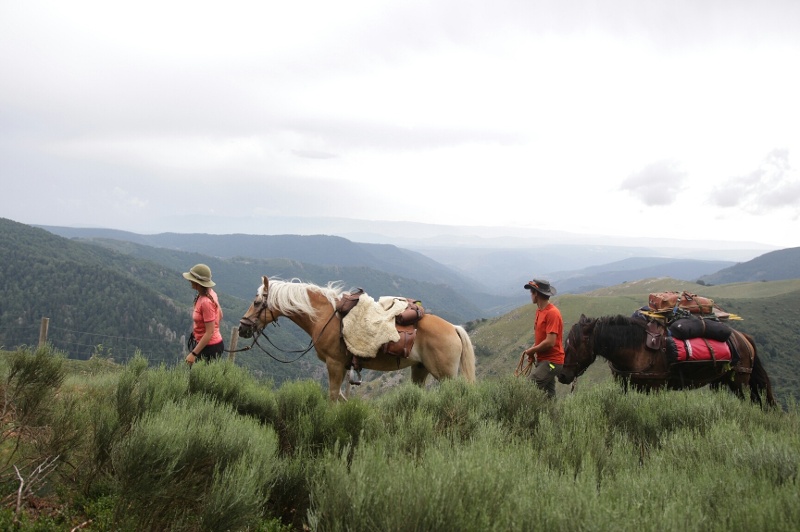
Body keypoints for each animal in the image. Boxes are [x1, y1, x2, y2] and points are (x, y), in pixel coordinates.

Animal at [238, 276, 476, 402]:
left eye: (257, 303)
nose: (242, 327)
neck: (324, 316)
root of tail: (453, 328)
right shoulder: (343, 366)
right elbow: (341, 397)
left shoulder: (334, 364)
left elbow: (333, 395)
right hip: (419, 370)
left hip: (445, 375)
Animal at [556, 314, 776, 406]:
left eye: (574, 345)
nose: (562, 375)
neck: (636, 348)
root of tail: (743, 338)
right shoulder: (625, 386)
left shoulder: (654, 388)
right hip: (721, 382)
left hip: (739, 383)